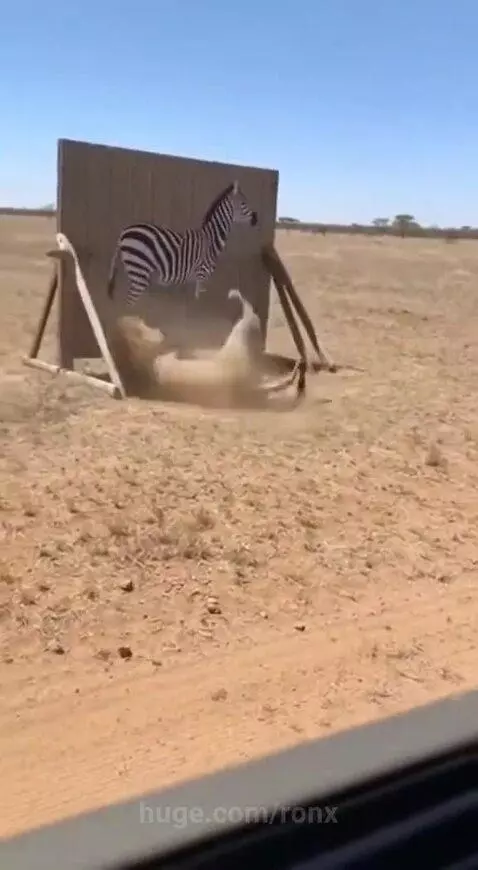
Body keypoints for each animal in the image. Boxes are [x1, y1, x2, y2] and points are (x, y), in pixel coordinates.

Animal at [106, 181, 258, 307]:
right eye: (243, 204)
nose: (256, 219)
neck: (211, 240)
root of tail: (124, 232)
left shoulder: (198, 280)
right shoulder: (201, 275)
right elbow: (196, 301)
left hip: (136, 271)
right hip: (139, 270)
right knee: (130, 302)